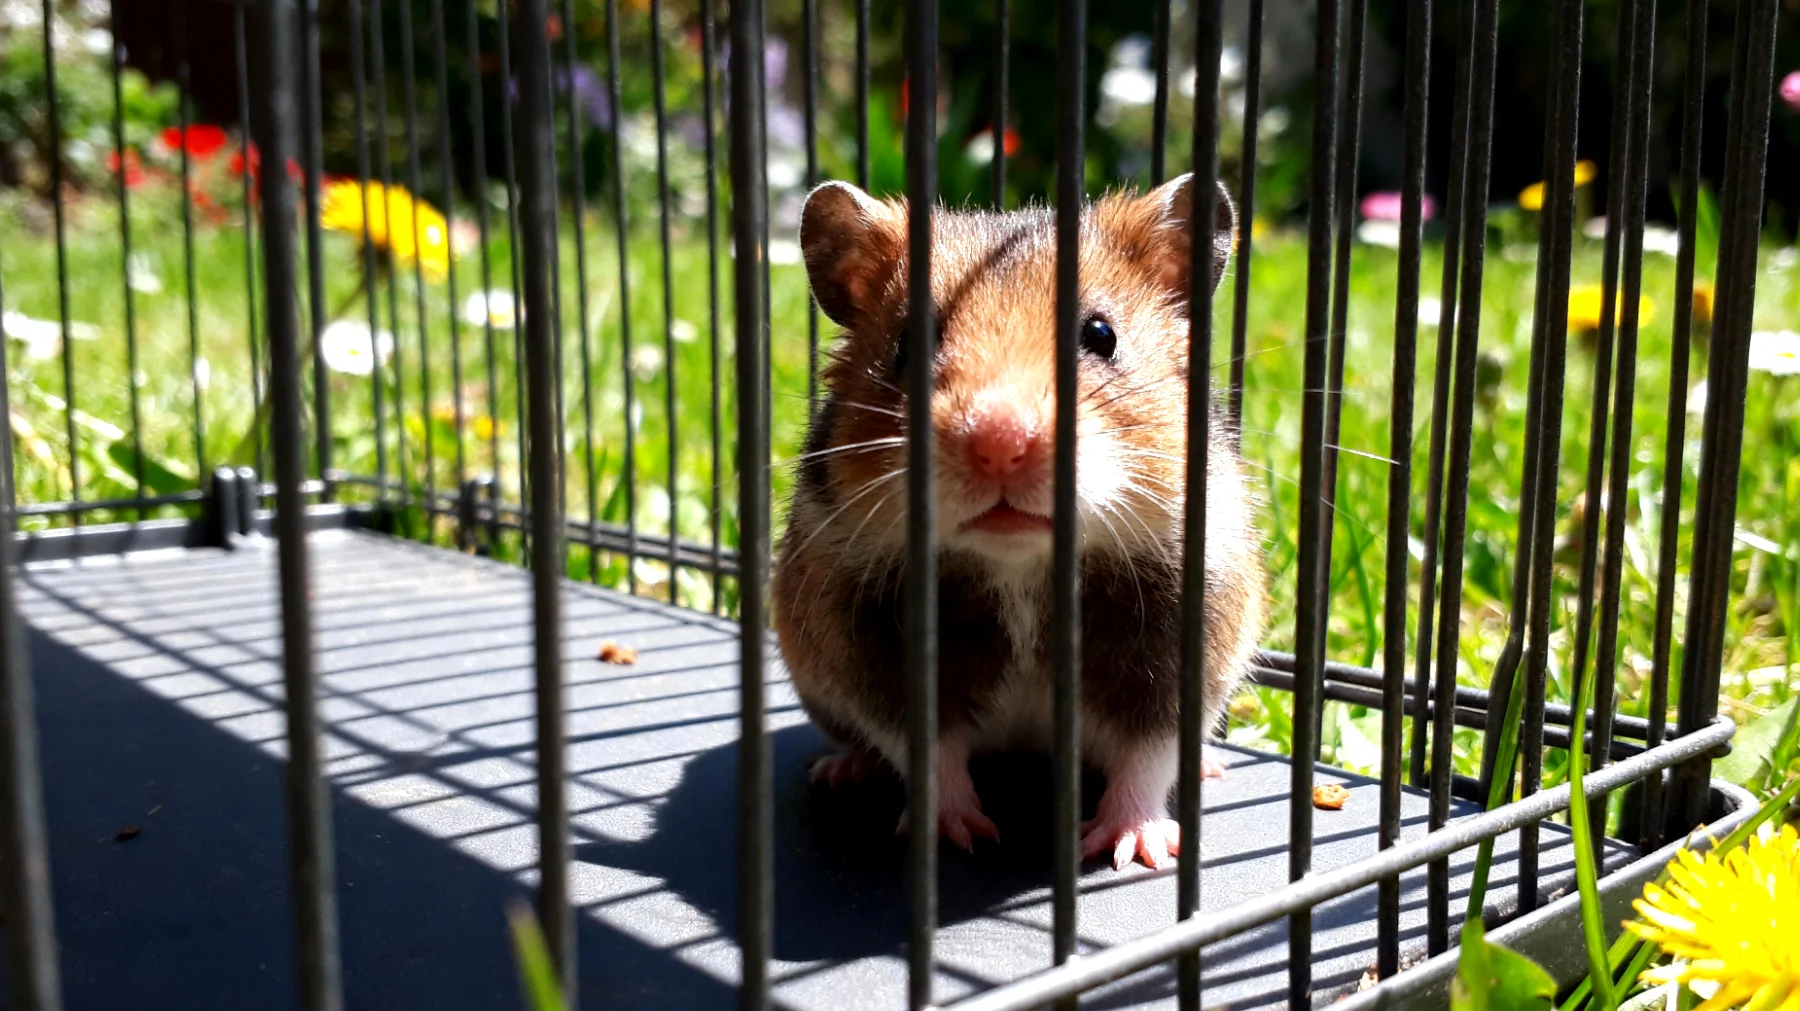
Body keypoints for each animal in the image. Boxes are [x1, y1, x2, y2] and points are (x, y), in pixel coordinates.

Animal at [773, 173, 1265, 870]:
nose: (1000, 441)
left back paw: (1208, 769)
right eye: (906, 345)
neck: (1020, 565)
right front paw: (953, 837)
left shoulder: (1181, 644)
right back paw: (844, 772)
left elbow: (1146, 756)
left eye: (1102, 334)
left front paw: (1130, 850)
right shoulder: (876, 645)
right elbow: (929, 753)